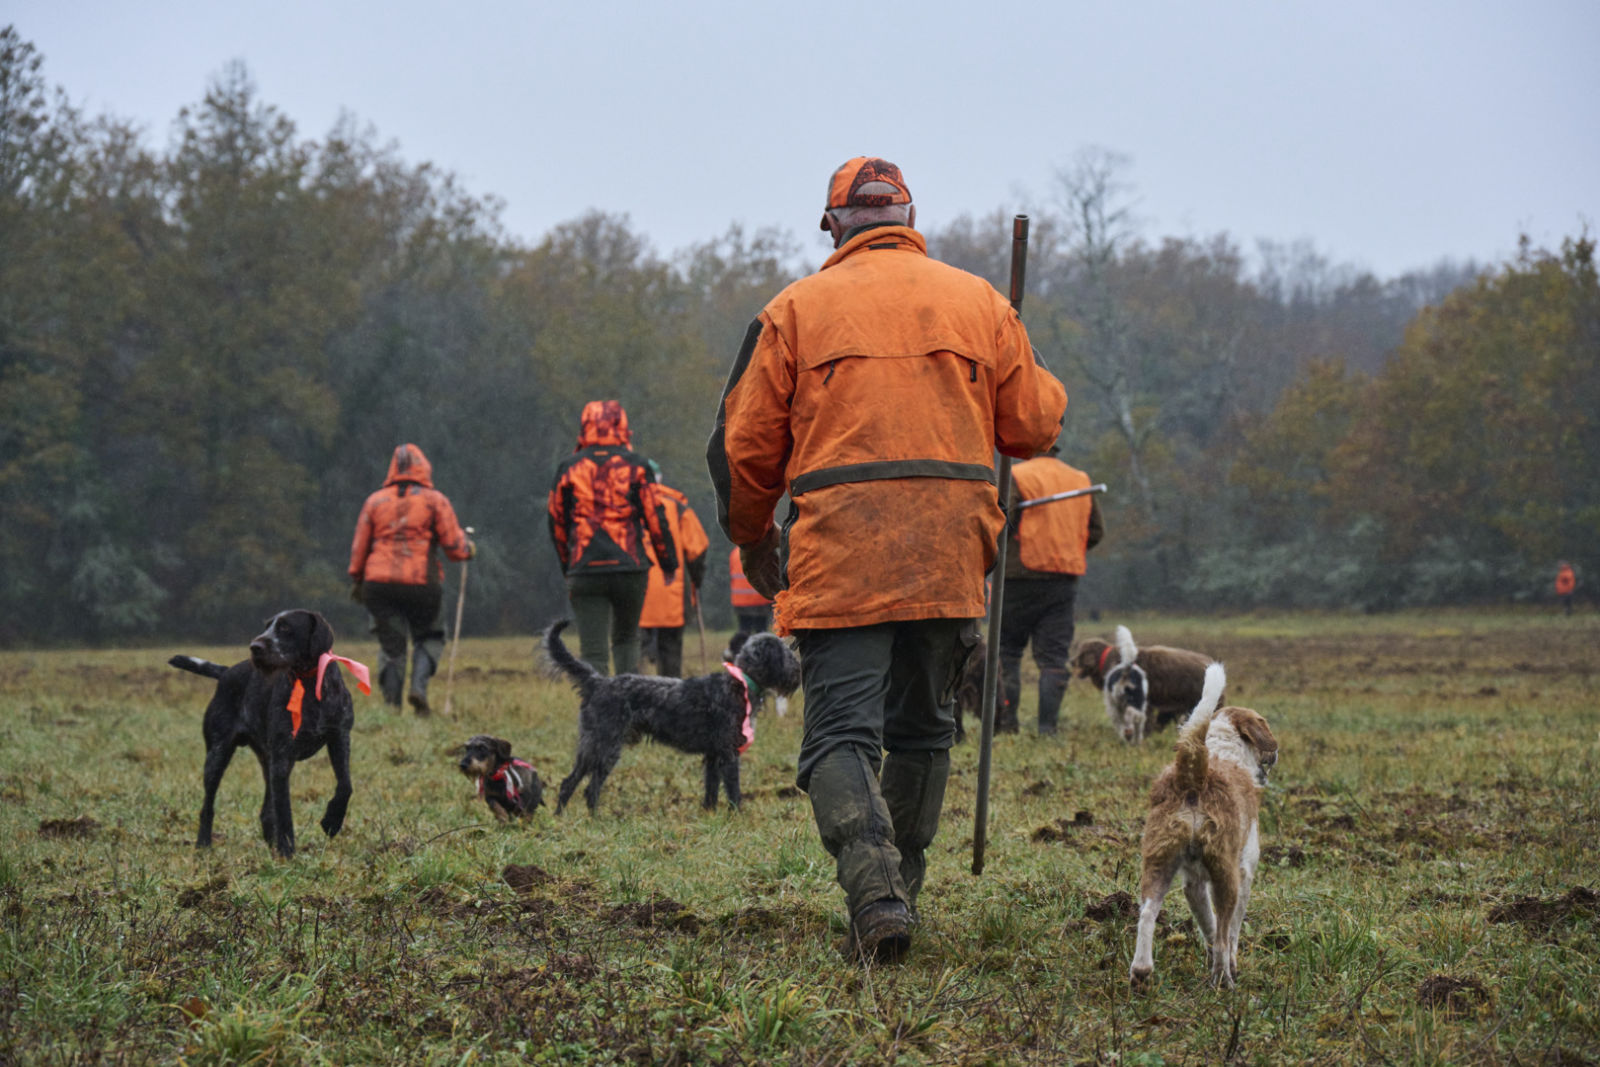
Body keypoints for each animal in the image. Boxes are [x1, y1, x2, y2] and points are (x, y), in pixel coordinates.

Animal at [170, 607, 369, 857]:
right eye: (266, 627)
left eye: (285, 627)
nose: (254, 646)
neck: (308, 683)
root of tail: (226, 672)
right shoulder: (282, 758)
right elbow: (284, 812)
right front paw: (287, 851)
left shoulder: (339, 737)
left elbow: (345, 785)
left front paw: (332, 820)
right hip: (218, 755)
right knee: (208, 806)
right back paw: (204, 843)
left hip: (265, 760)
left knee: (265, 811)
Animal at [547, 614, 800, 812]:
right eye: (785, 652)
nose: (798, 669)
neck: (739, 683)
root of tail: (597, 682)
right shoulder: (728, 753)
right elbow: (733, 790)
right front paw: (736, 816)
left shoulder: (713, 755)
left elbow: (711, 791)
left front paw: (710, 816)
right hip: (606, 746)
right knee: (590, 788)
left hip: (590, 745)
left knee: (568, 783)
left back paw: (561, 819)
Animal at [1132, 662, 1280, 991]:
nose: (1275, 754)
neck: (1224, 750)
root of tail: (1193, 776)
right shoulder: (1244, 872)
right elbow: (1230, 931)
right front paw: (1230, 965)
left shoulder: (1194, 884)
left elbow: (1208, 926)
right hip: (1226, 876)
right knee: (1225, 936)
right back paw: (1225, 983)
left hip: (1158, 864)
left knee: (1147, 914)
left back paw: (1141, 971)